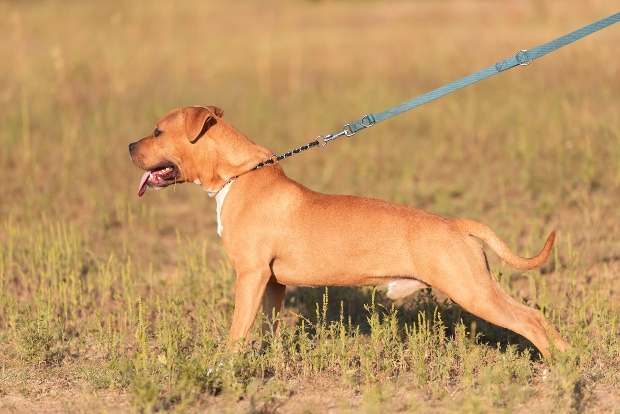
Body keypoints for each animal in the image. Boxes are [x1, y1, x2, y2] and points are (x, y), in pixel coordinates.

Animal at [128, 105, 568, 358]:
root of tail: (455, 224)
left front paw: (224, 369)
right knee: (535, 316)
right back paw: (568, 360)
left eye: (157, 132)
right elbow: (266, 327)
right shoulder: (270, 283)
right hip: (479, 285)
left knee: (529, 322)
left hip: (471, 291)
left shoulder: (250, 275)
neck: (237, 175)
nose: (129, 146)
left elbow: (237, 331)